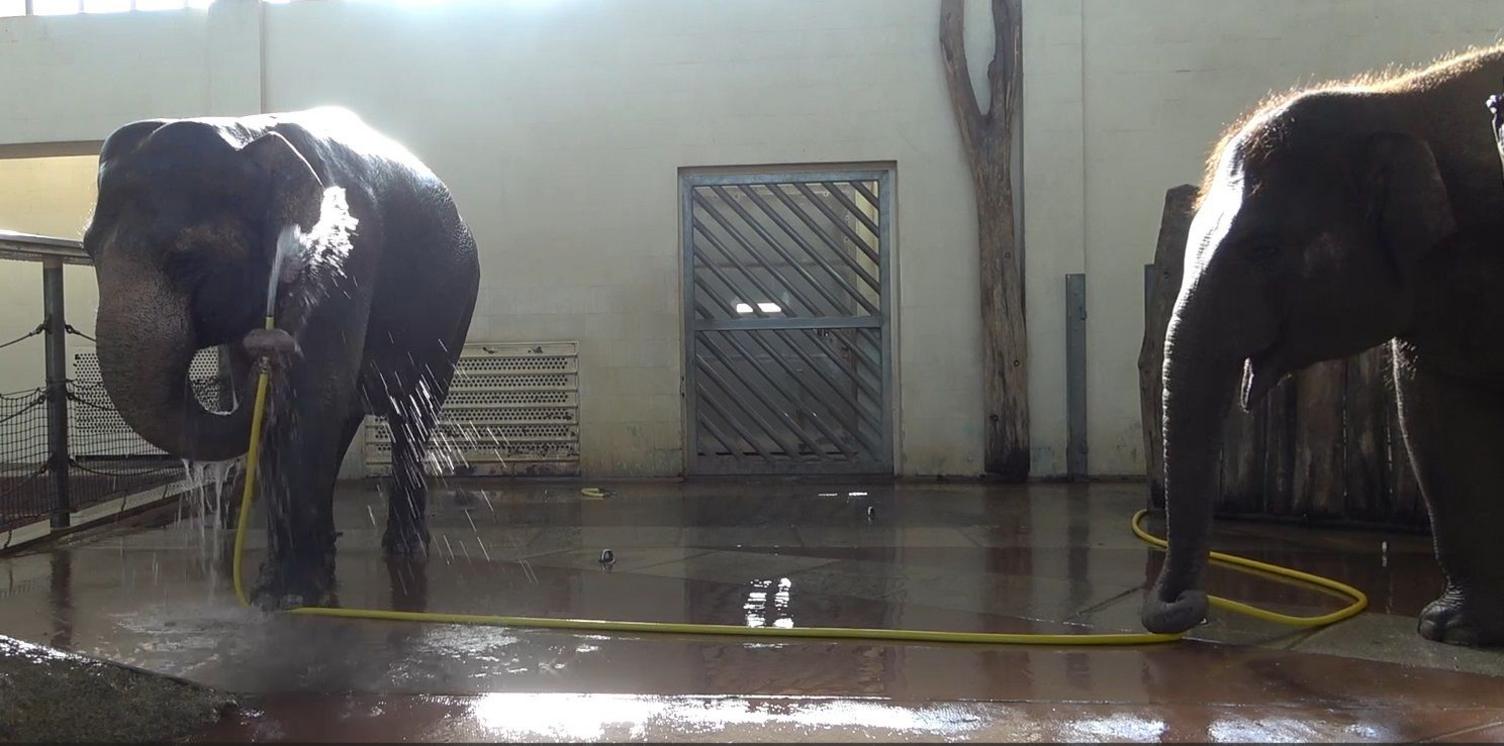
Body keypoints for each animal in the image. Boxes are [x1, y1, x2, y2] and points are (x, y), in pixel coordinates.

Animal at [80, 106, 475, 607]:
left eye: (186, 259)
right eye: (87, 251)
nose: (269, 342)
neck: (247, 130)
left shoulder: (345, 255)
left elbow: (311, 389)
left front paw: (293, 596)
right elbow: (283, 406)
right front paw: (278, 588)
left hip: (455, 310)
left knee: (412, 414)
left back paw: (405, 548)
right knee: (345, 414)